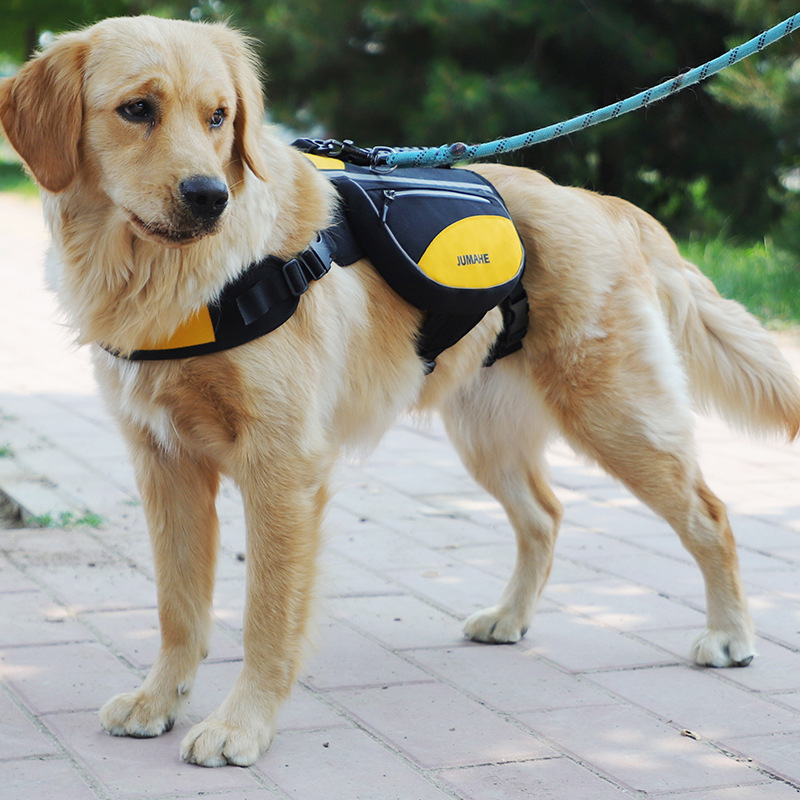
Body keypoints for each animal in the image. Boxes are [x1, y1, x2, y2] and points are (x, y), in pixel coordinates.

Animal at [1, 14, 800, 768]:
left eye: (218, 116)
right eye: (136, 109)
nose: (209, 196)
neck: (174, 279)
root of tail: (602, 204)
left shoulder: (282, 466)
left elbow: (266, 616)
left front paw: (241, 726)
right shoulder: (164, 463)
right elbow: (178, 608)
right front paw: (159, 701)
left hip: (615, 414)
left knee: (710, 514)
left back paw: (730, 634)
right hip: (486, 434)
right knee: (545, 516)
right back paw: (510, 618)